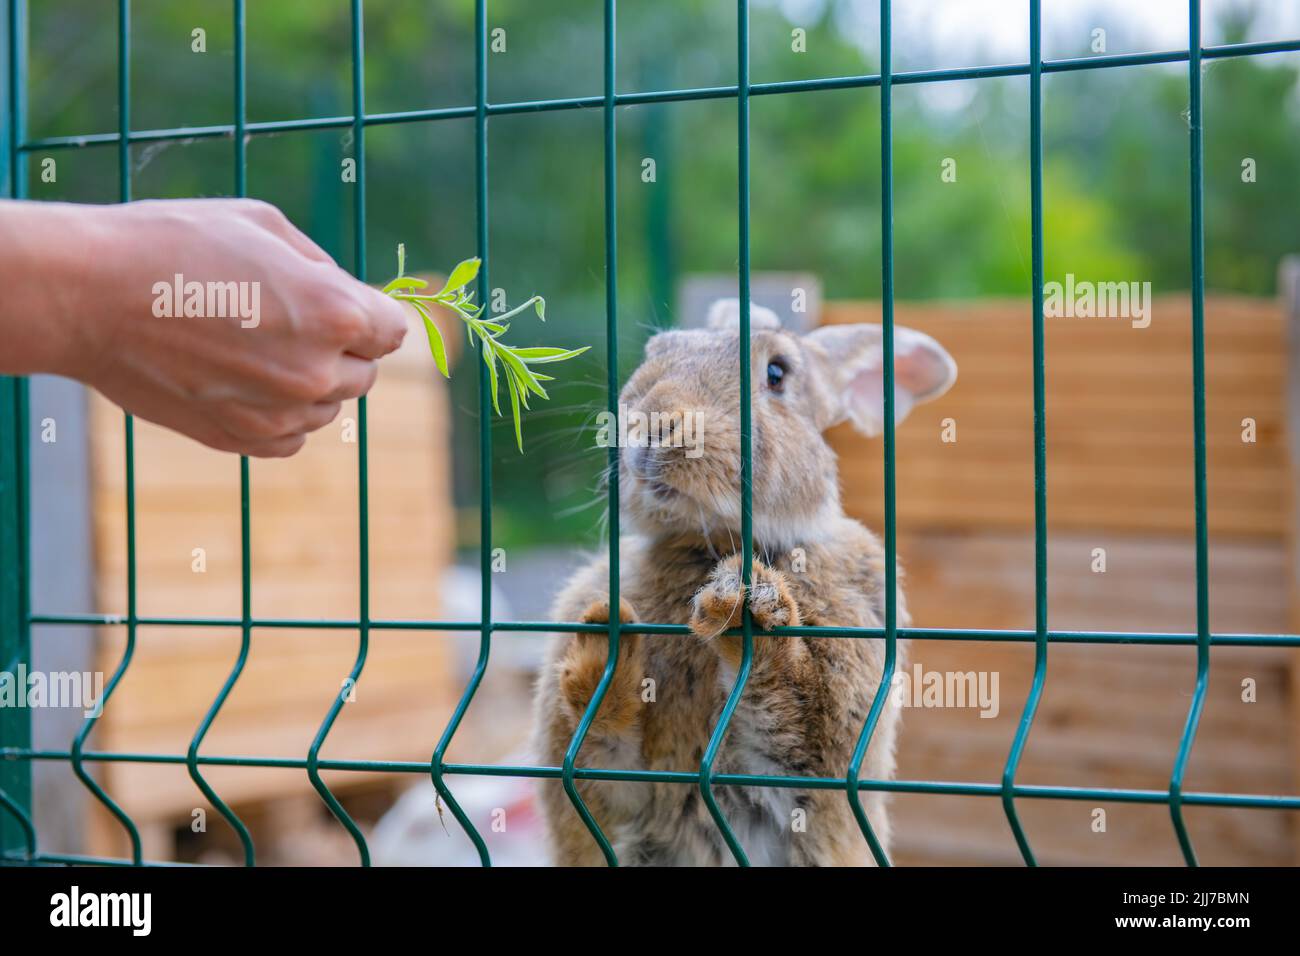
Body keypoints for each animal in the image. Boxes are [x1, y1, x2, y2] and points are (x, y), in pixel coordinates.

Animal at [532, 299, 957, 866]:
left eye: (777, 374)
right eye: (658, 351)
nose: (652, 422)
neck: (713, 544)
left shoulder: (817, 765)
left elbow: (790, 716)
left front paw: (744, 603)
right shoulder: (614, 790)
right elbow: (605, 755)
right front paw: (603, 650)